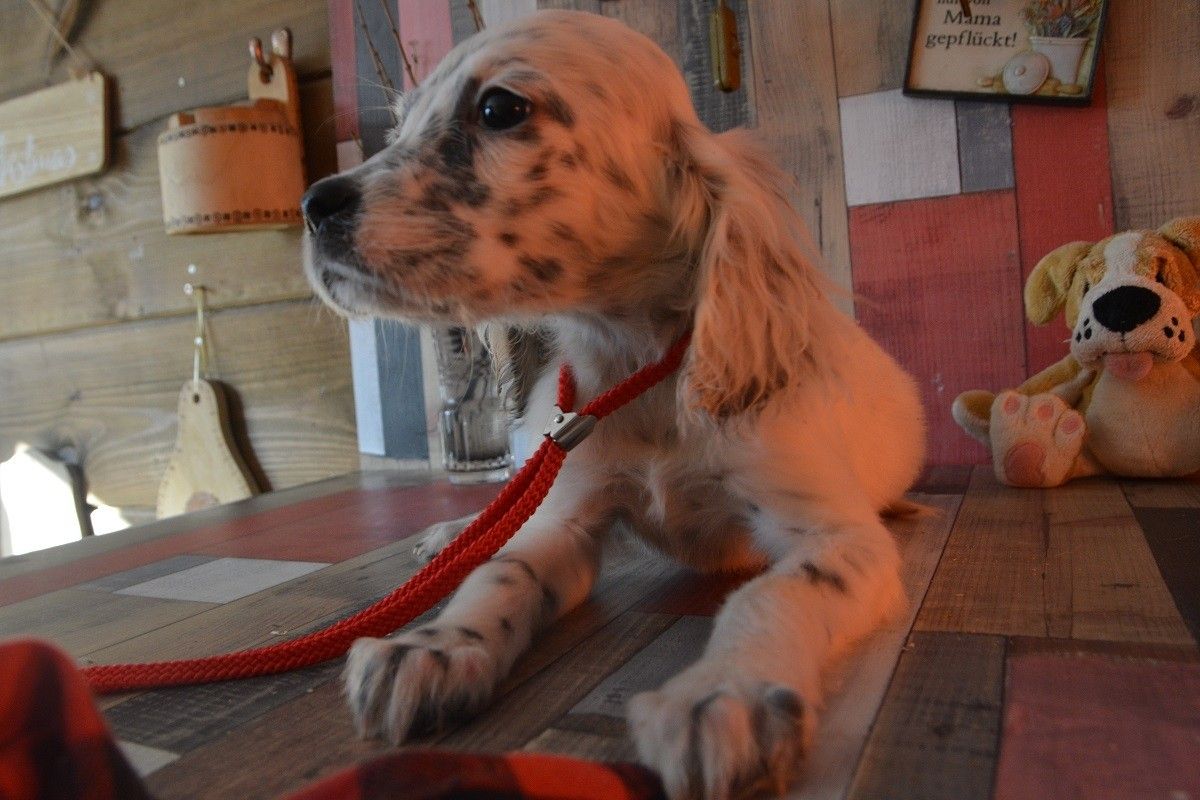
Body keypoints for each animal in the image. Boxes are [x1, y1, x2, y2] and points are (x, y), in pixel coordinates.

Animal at [302, 11, 925, 799]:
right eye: (400, 122)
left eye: (499, 109)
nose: (311, 207)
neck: (639, 369)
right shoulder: (571, 517)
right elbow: (502, 569)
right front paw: (432, 646)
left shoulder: (835, 534)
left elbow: (776, 593)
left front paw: (723, 693)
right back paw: (453, 532)